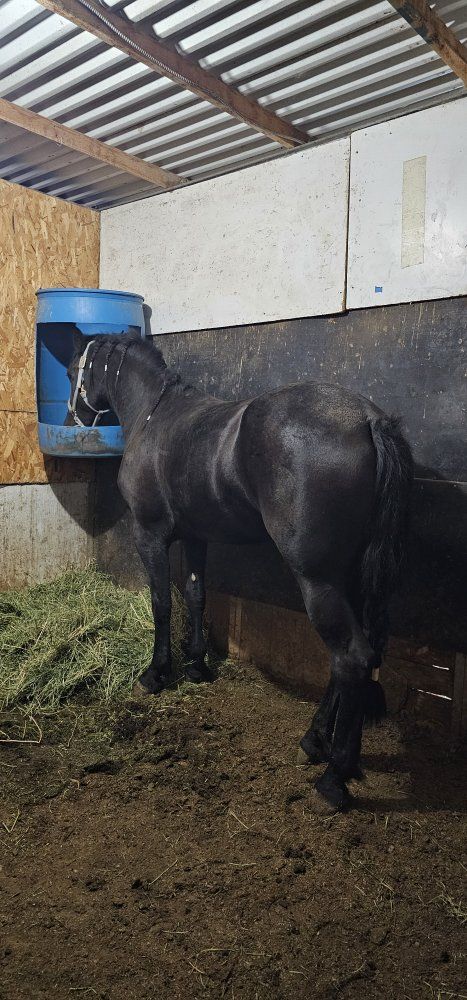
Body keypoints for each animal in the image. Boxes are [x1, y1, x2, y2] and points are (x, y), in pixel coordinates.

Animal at [65, 329, 413, 811]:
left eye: (72, 369)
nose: (74, 416)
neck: (155, 415)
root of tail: (367, 419)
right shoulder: (196, 537)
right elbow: (196, 595)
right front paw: (197, 666)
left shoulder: (149, 535)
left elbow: (161, 603)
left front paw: (155, 675)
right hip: (352, 576)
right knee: (356, 657)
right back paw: (316, 741)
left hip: (318, 578)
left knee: (352, 657)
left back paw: (333, 778)